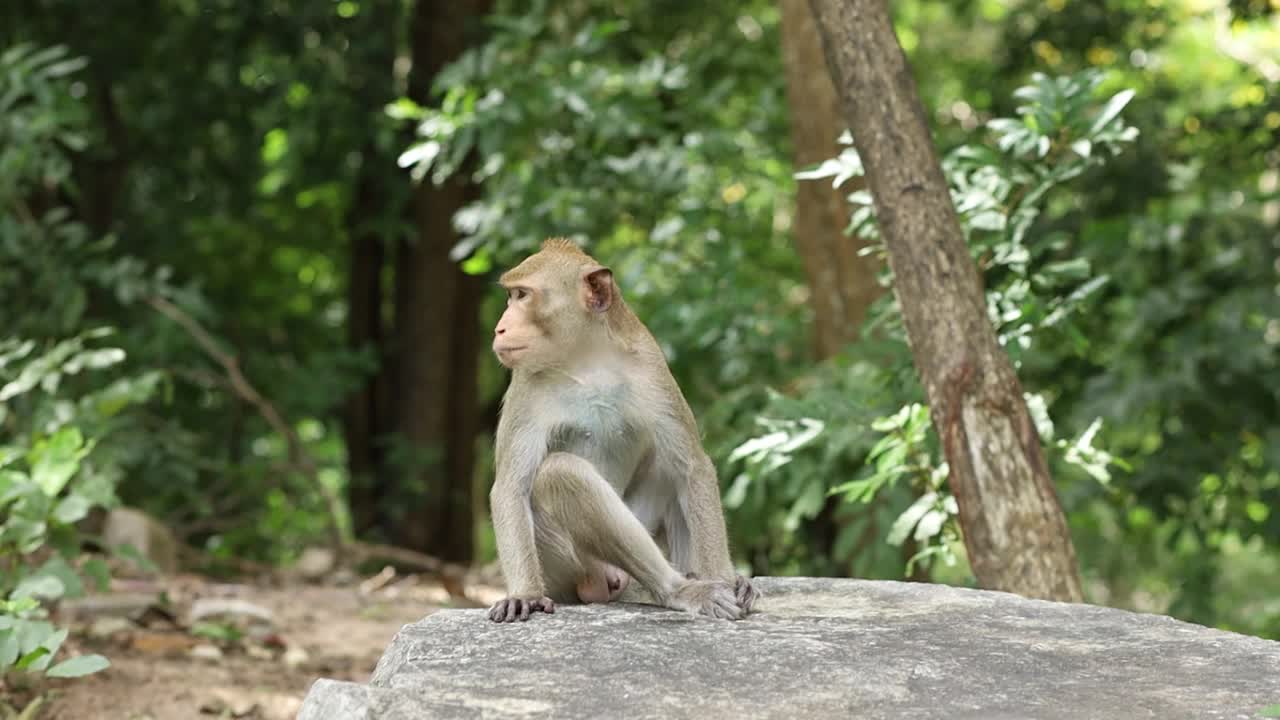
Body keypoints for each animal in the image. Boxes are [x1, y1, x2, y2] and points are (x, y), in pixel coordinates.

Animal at [483, 238, 752, 620]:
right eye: (512, 295)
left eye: (522, 295)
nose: (500, 328)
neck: (586, 360)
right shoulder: (525, 385)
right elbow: (510, 487)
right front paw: (524, 594)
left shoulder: (651, 367)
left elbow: (692, 468)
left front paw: (726, 578)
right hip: (564, 567)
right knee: (561, 472)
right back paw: (677, 590)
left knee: (666, 465)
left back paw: (691, 578)